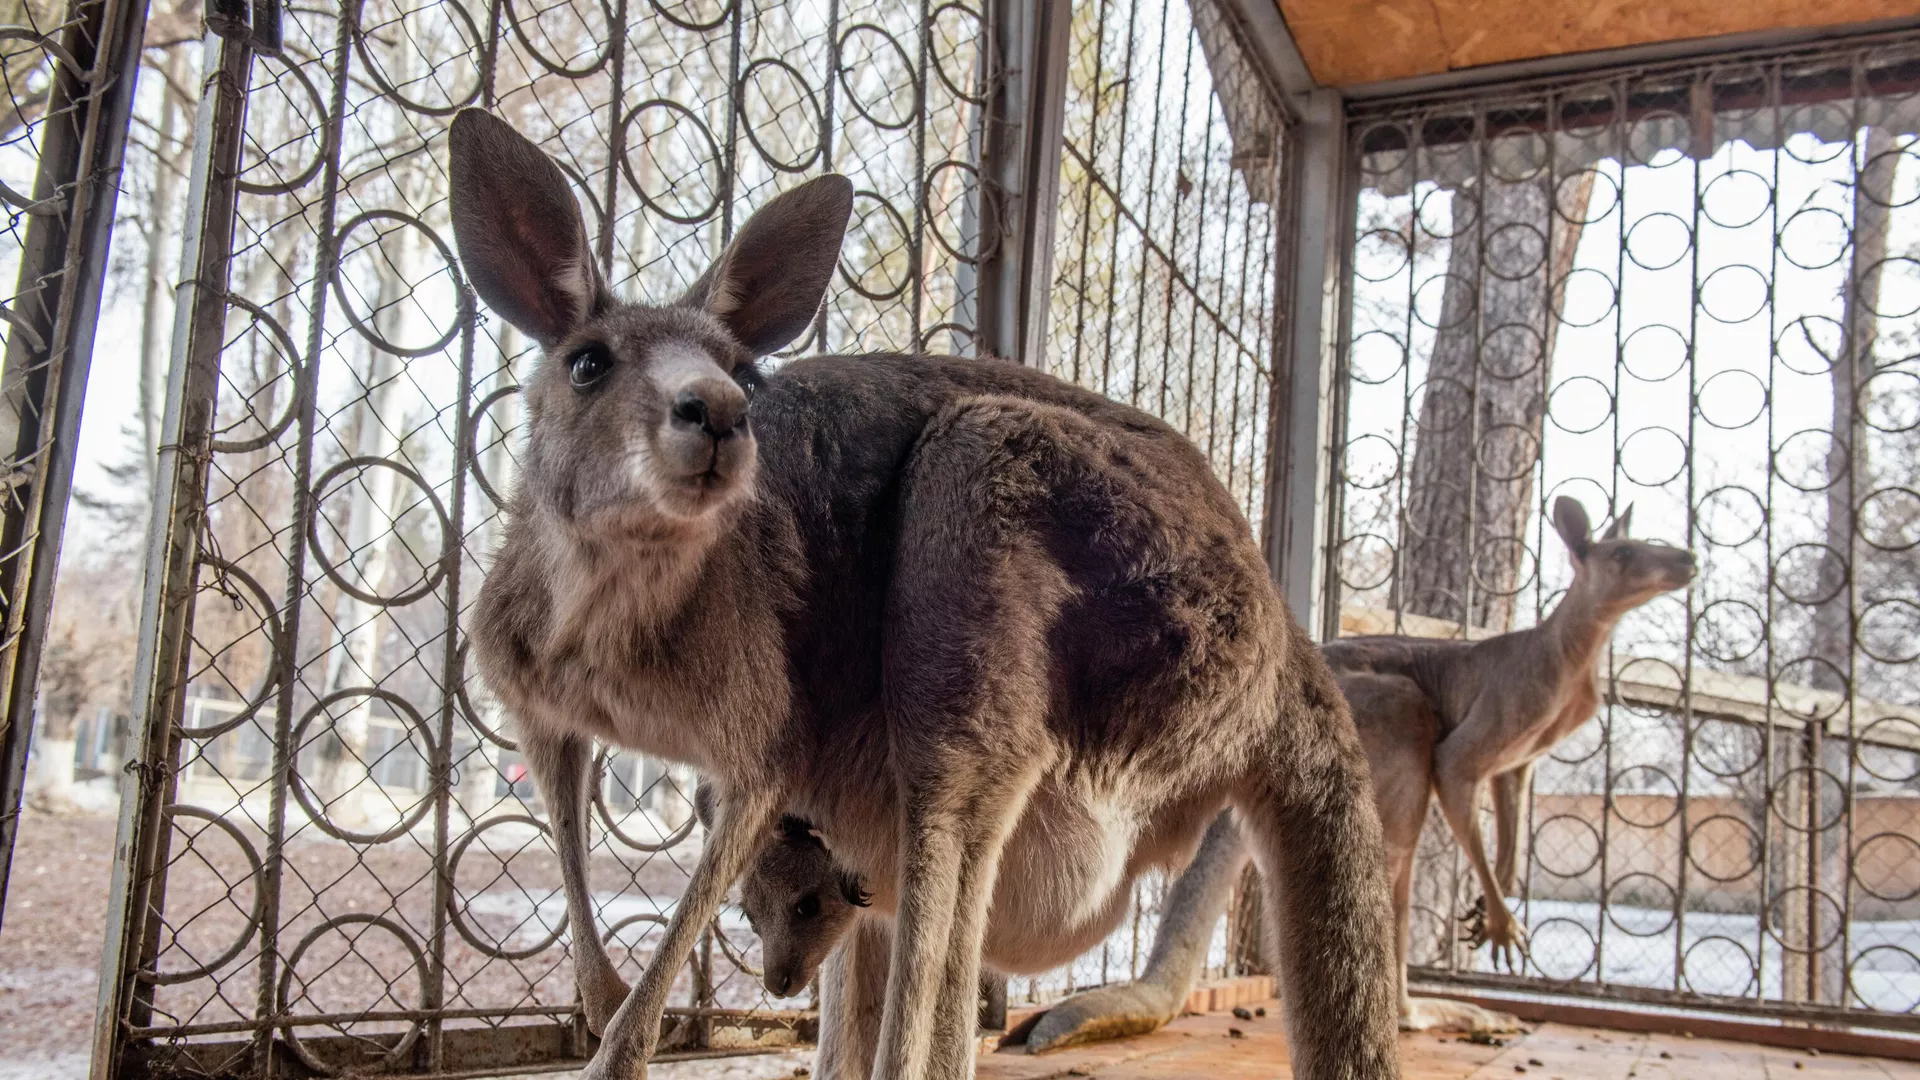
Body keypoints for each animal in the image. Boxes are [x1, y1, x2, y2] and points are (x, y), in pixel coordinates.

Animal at [448, 108, 1400, 1080]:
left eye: (743, 374)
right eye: (587, 364)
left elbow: (720, 850)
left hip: (1023, 528)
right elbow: (567, 827)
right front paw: (600, 999)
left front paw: (619, 1044)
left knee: (949, 840)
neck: (623, 596)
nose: (720, 412)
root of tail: (1284, 638)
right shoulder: (532, 695)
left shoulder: (766, 724)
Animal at [723, 496, 1695, 1044]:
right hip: (1388, 728)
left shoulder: (1521, 759)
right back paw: (1425, 1014)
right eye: (1628, 552)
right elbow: (1465, 778)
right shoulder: (1481, 731)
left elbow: (1507, 797)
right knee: (1399, 847)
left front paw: (1505, 904)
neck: (1569, 656)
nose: (1686, 560)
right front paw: (1498, 918)